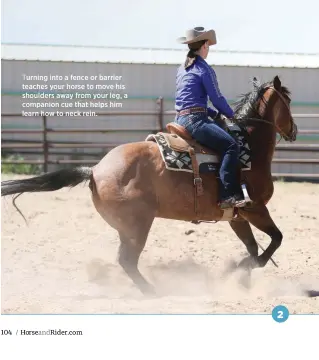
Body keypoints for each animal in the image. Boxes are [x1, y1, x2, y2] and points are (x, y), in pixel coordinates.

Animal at [1, 76, 298, 296]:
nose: (294, 130)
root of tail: (95, 170)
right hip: (138, 225)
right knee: (127, 260)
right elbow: (275, 240)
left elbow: (252, 246)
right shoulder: (255, 208)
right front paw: (245, 267)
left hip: (127, 228)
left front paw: (240, 275)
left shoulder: (236, 215)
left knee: (125, 259)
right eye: (289, 100)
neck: (248, 148)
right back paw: (152, 291)